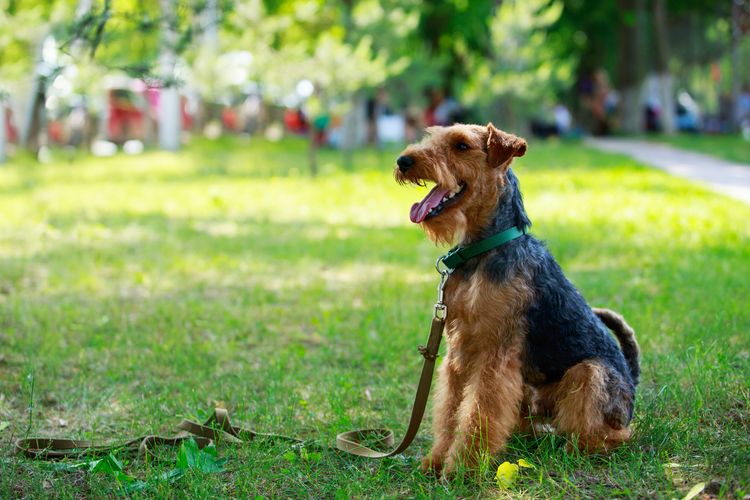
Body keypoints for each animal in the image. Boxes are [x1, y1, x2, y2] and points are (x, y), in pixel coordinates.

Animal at [394, 123, 640, 474]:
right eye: (433, 136)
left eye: (461, 145)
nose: (403, 161)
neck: (483, 250)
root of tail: (633, 380)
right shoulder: (458, 351)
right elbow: (451, 409)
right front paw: (437, 460)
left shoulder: (495, 355)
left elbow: (477, 413)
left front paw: (463, 470)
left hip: (590, 374)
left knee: (613, 432)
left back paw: (581, 447)